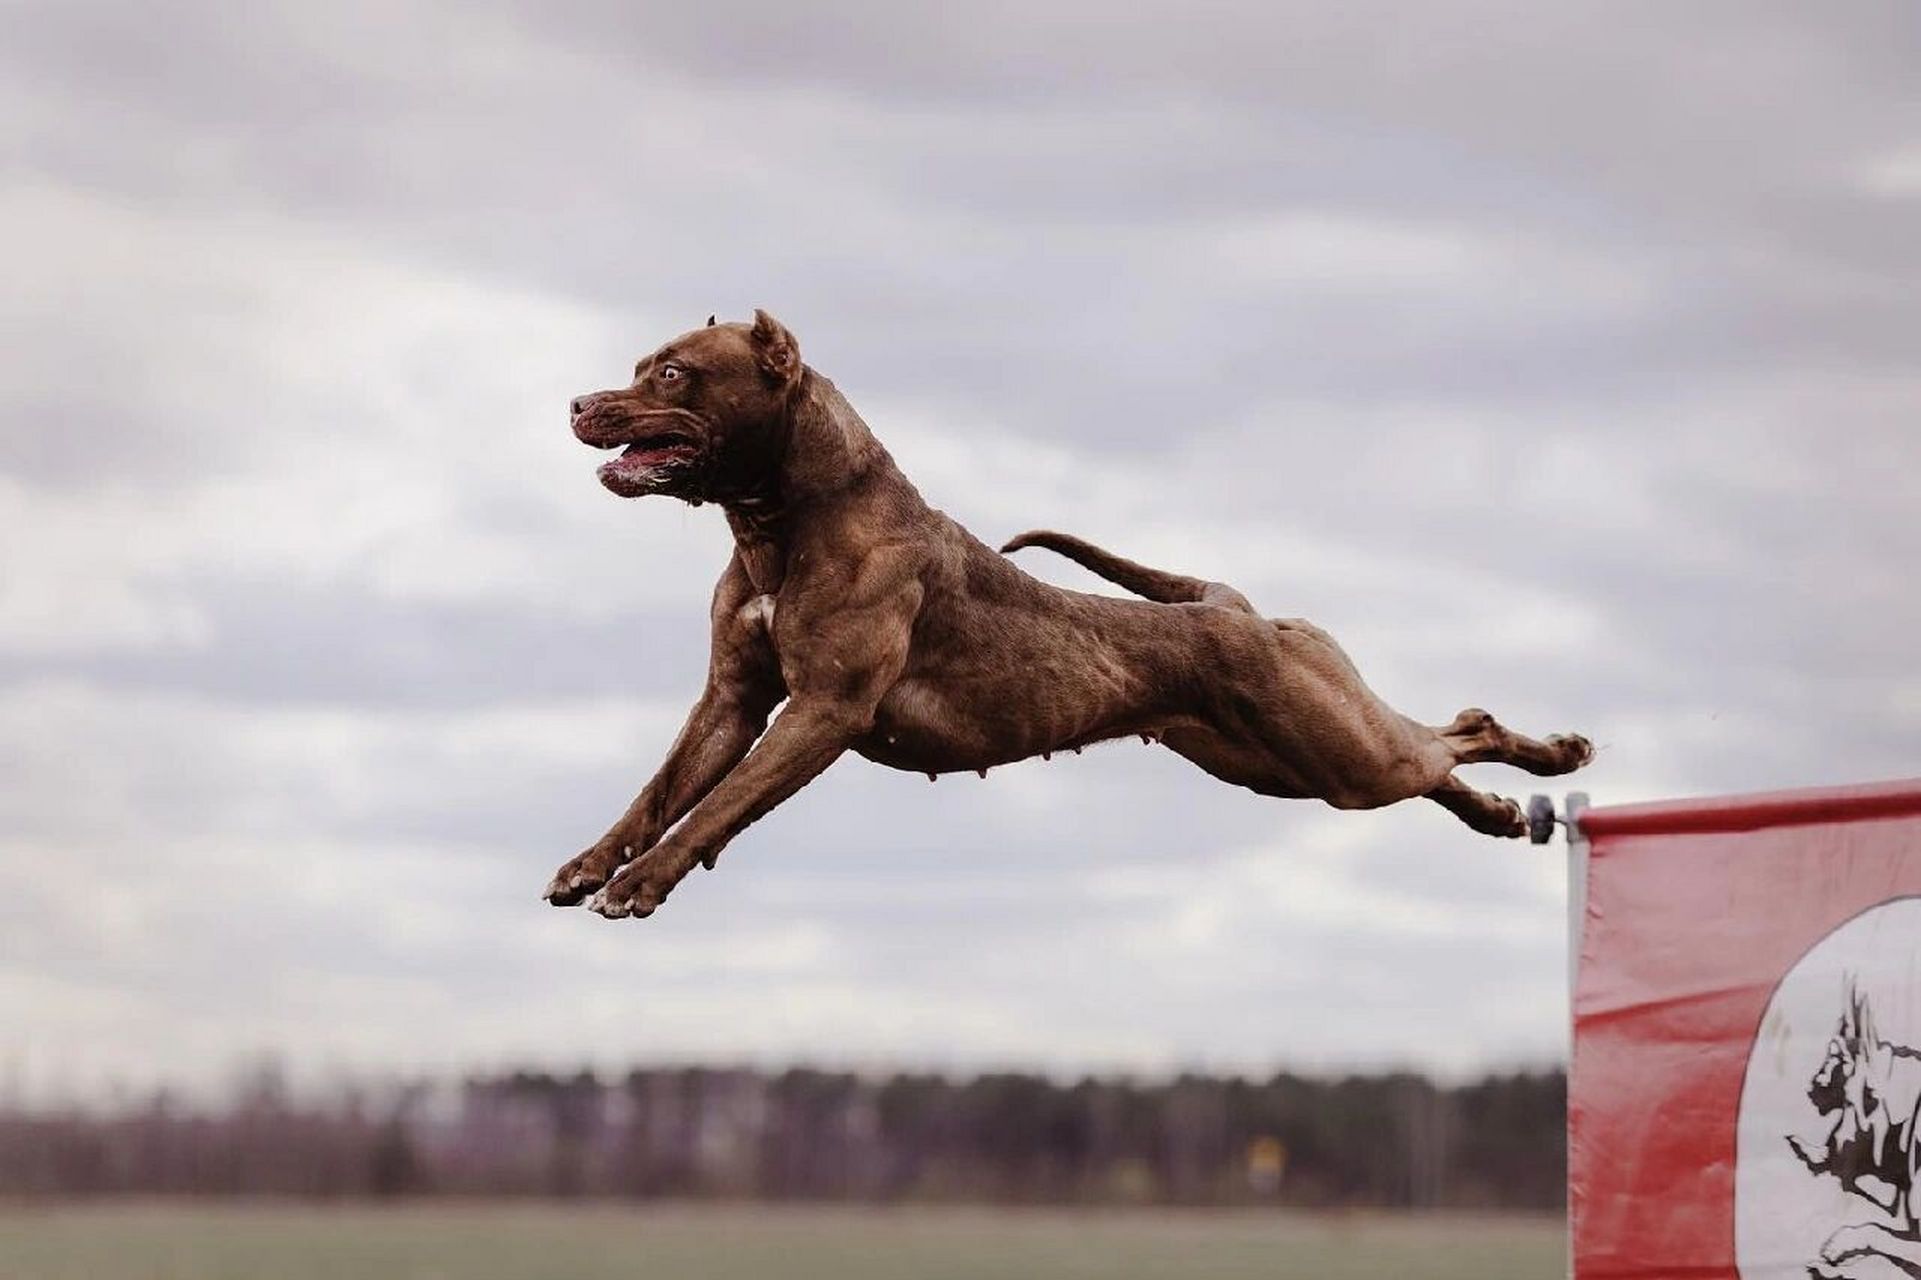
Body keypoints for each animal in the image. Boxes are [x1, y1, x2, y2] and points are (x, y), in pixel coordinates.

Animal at [549, 309, 1598, 918]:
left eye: (672, 375)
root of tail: (1232, 606)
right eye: (638, 366)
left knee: (1457, 729)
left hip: (1337, 751)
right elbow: (659, 792)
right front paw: (591, 864)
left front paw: (640, 884)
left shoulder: (822, 711)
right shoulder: (731, 702)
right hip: (1284, 766)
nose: (575, 402)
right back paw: (1496, 811)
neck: (778, 519)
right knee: (1431, 762)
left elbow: (716, 805)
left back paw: (1552, 756)